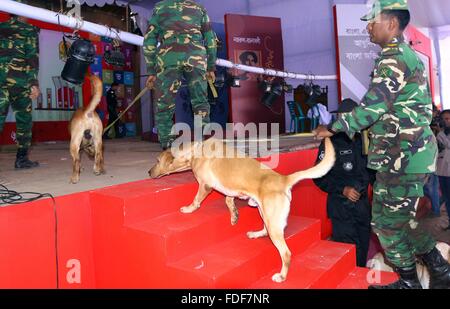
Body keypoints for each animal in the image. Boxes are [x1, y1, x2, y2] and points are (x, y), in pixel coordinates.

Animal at [149, 137, 336, 282]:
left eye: (157, 160)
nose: (149, 172)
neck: (196, 151)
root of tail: (283, 179)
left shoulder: (205, 185)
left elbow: (197, 200)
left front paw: (189, 209)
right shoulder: (230, 190)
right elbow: (228, 200)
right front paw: (234, 215)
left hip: (272, 221)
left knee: (286, 253)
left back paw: (282, 276)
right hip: (264, 212)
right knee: (265, 230)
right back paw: (255, 234)